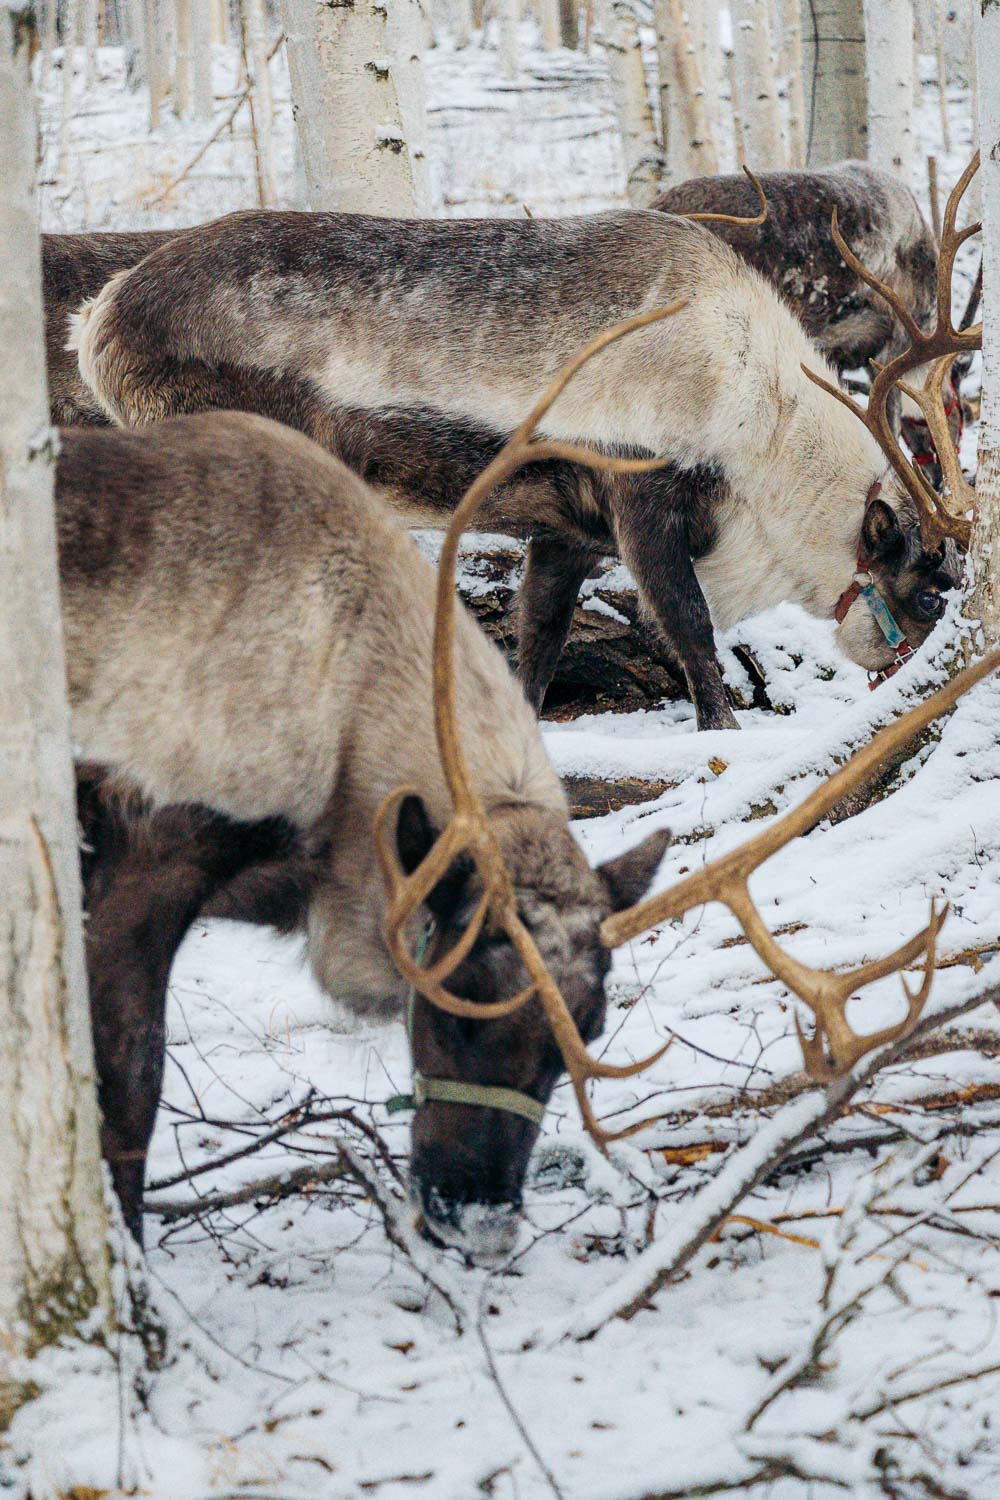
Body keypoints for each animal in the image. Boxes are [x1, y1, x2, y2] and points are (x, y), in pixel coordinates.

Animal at [70, 168, 970, 732]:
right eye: (930, 591)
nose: (917, 686)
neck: (764, 422)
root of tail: (101, 315)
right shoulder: (643, 501)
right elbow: (694, 635)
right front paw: (723, 733)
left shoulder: (564, 533)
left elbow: (537, 644)